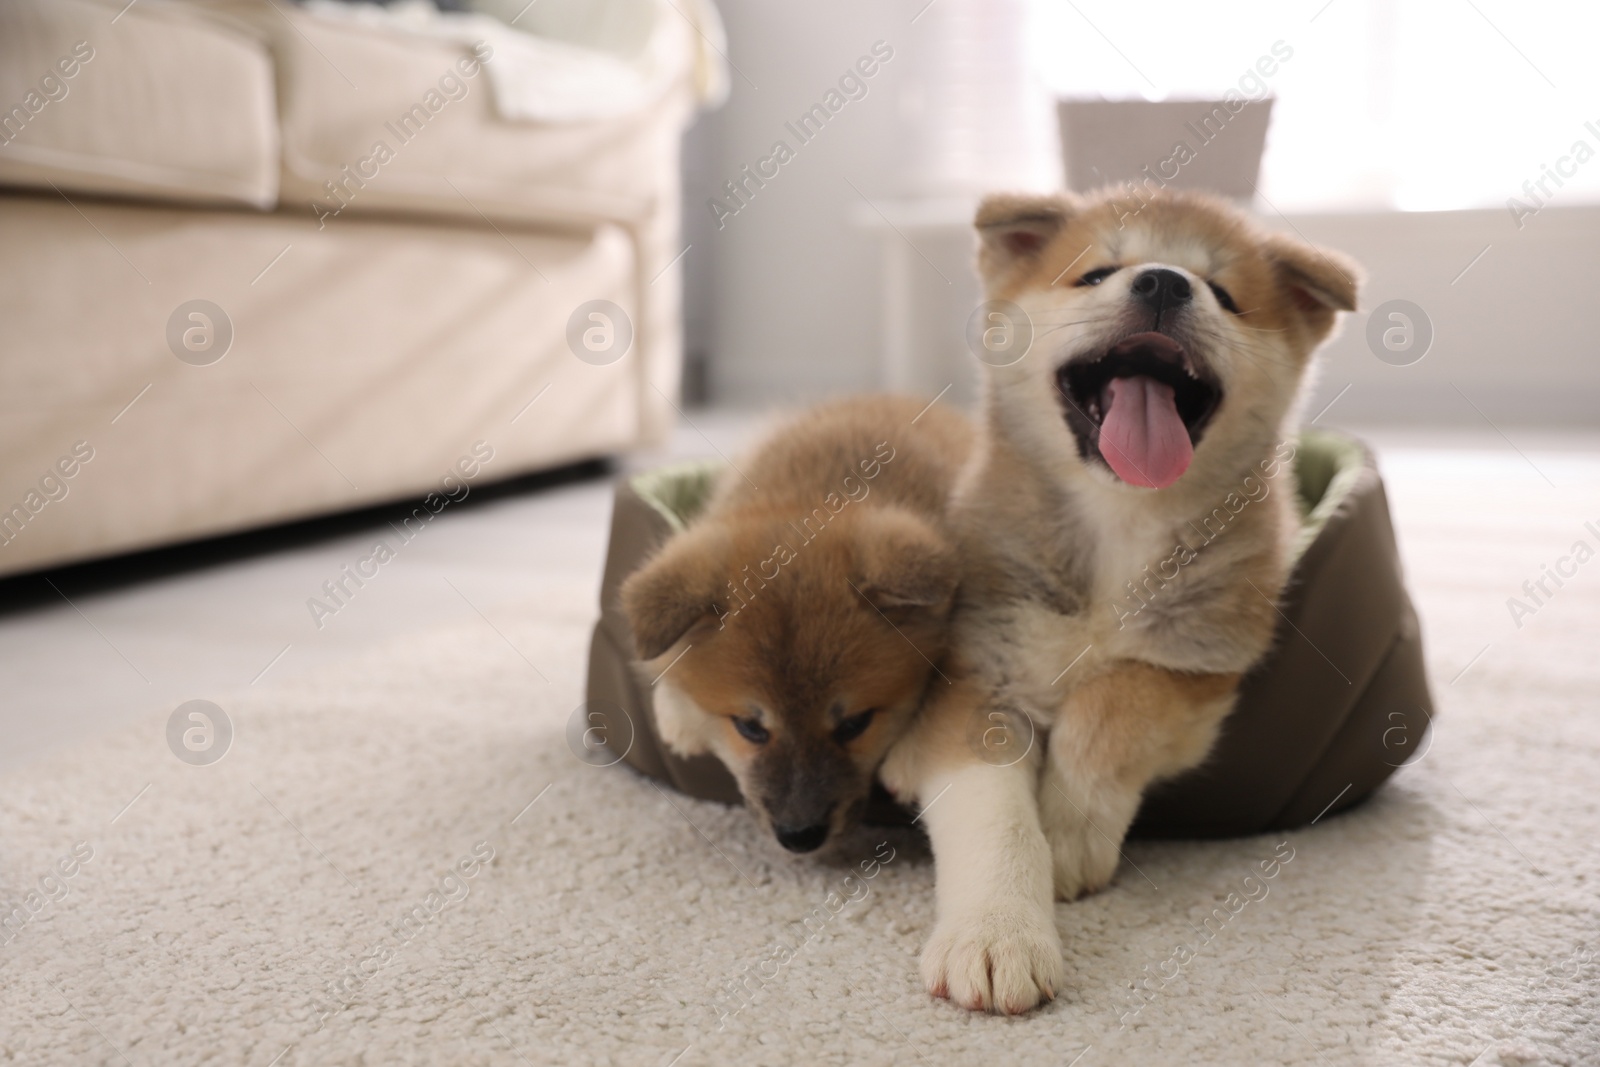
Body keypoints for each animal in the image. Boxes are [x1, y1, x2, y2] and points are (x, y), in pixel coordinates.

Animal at [876, 185, 1363, 1017]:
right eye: (1097, 273)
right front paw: (998, 933)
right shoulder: (972, 683)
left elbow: (1109, 708)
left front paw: (1070, 833)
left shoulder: (1201, 662)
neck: (1118, 525)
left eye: (1224, 292)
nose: (1164, 281)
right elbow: (997, 817)